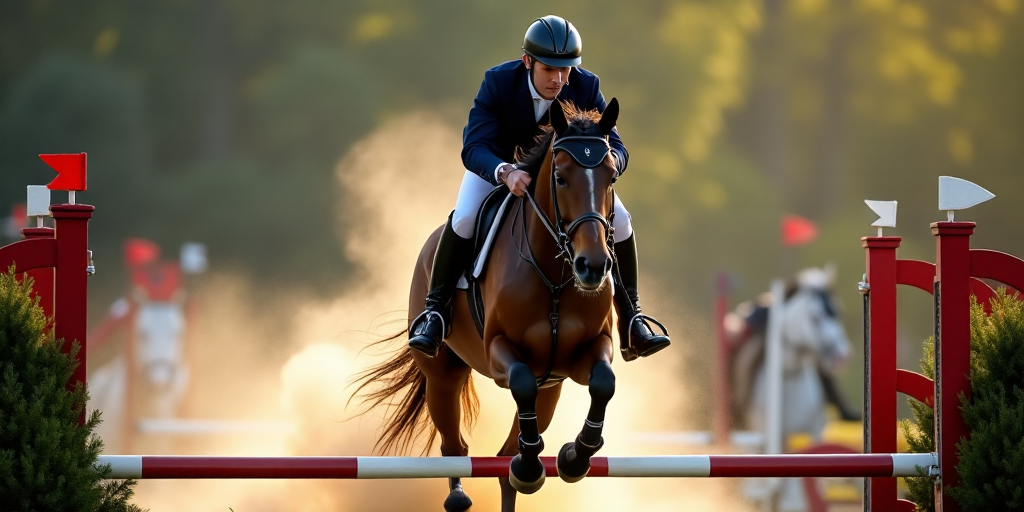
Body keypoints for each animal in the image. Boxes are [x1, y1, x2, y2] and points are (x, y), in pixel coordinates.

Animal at [352, 99, 622, 512]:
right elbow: (522, 381)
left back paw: (522, 470)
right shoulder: (499, 351)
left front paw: (574, 457)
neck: (555, 277)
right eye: (561, 178)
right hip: (443, 376)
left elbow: (603, 383)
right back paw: (461, 494)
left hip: (551, 387)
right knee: (455, 445)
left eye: (610, 177)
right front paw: (534, 464)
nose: (592, 266)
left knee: (504, 458)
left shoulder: (583, 353)